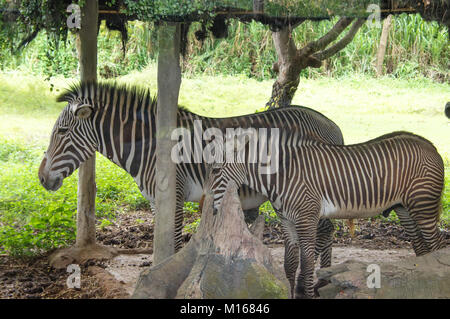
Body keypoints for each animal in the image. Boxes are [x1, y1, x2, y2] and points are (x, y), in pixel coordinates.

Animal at [207, 129, 446, 298]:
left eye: (216, 170)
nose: (212, 211)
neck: (283, 174)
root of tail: (430, 145)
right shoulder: (287, 222)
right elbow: (290, 264)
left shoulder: (306, 218)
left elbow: (307, 264)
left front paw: (306, 294)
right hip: (405, 209)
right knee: (422, 248)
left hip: (423, 206)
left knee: (436, 246)